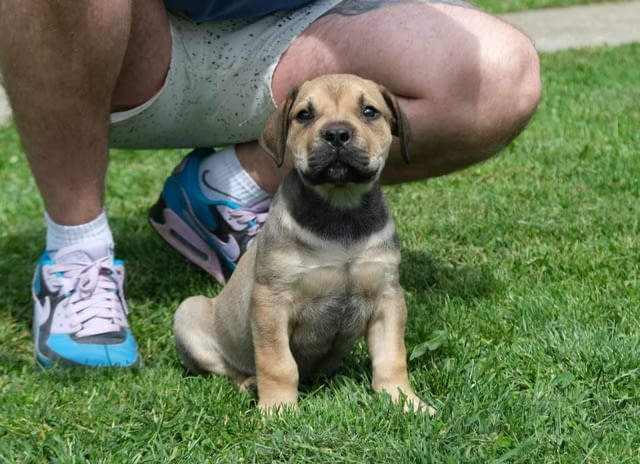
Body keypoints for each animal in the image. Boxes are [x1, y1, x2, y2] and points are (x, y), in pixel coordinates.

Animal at [172, 74, 432, 416]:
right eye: (304, 115)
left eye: (369, 112)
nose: (336, 134)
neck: (340, 209)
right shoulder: (271, 301)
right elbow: (278, 363)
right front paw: (278, 409)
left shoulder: (387, 297)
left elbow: (392, 358)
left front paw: (406, 401)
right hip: (189, 312)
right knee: (227, 368)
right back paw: (249, 383)